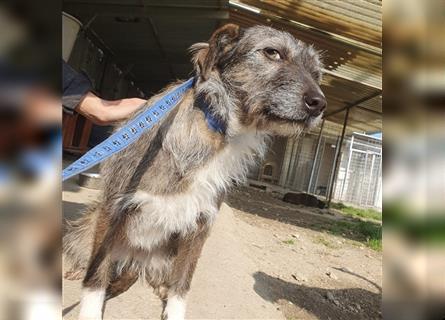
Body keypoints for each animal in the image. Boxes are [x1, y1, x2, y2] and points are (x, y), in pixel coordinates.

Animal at [64, 23, 324, 320]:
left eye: (316, 73)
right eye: (272, 52)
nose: (320, 103)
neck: (217, 129)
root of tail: (134, 259)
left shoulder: (200, 223)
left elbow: (182, 283)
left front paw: (174, 310)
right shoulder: (114, 206)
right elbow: (97, 275)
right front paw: (90, 311)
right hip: (87, 228)